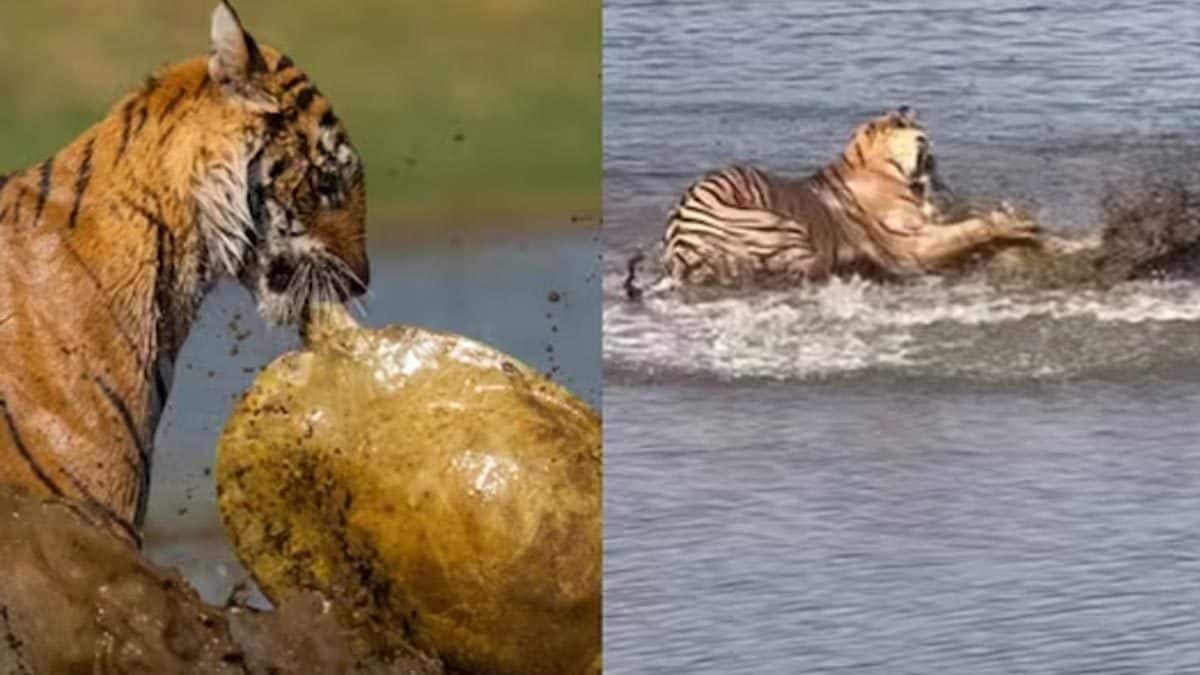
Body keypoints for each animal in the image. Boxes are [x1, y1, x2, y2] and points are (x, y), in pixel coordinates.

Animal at [656, 107, 1039, 289]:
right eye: (906, 130)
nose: (925, 141)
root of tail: (681, 242)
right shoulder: (910, 244)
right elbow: (970, 228)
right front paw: (1016, 223)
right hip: (783, 228)